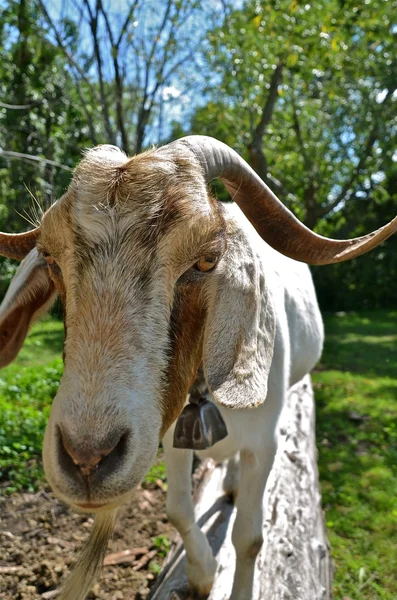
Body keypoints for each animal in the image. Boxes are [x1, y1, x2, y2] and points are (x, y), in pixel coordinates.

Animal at [0, 137, 394, 600]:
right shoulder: (169, 436)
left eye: (207, 260)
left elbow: (250, 538)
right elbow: (176, 511)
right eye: (50, 258)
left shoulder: (265, 444)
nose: (87, 459)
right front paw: (203, 574)